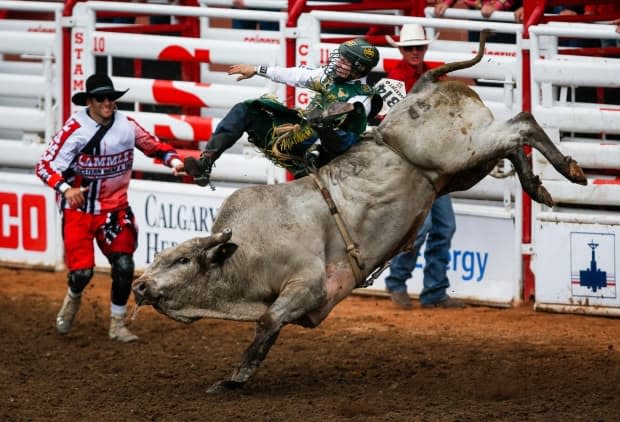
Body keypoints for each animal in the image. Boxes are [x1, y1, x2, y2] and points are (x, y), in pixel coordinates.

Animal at [131, 31, 588, 394]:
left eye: (182, 260)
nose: (138, 285)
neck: (246, 254)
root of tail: (423, 87)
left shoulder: (309, 286)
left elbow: (266, 325)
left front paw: (232, 380)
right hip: (461, 170)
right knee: (513, 142)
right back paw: (538, 185)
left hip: (464, 151)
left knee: (522, 122)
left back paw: (570, 169)